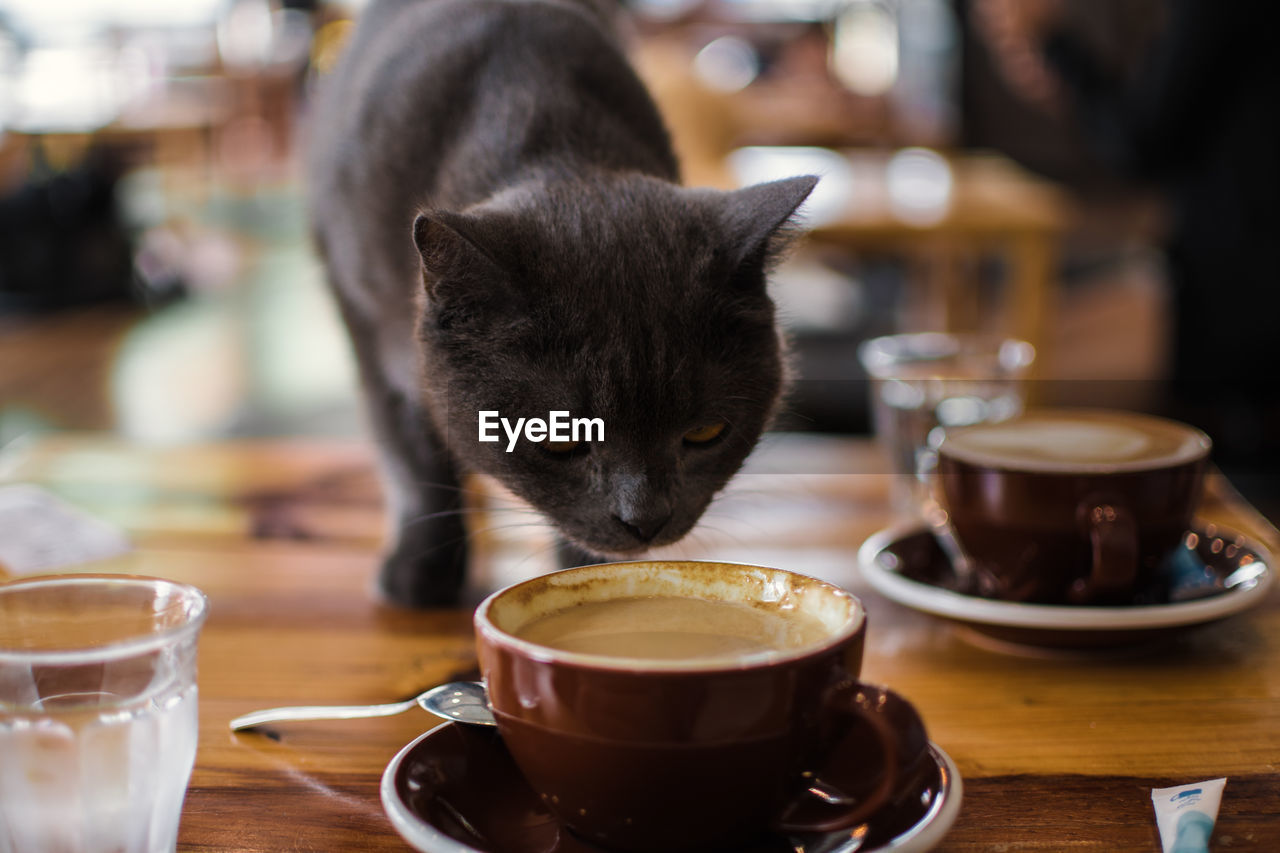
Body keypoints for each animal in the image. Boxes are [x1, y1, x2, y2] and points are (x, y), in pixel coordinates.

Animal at [304, 0, 814, 604]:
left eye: (706, 433)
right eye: (559, 439)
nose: (645, 520)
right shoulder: (361, 314)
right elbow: (410, 451)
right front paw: (420, 574)